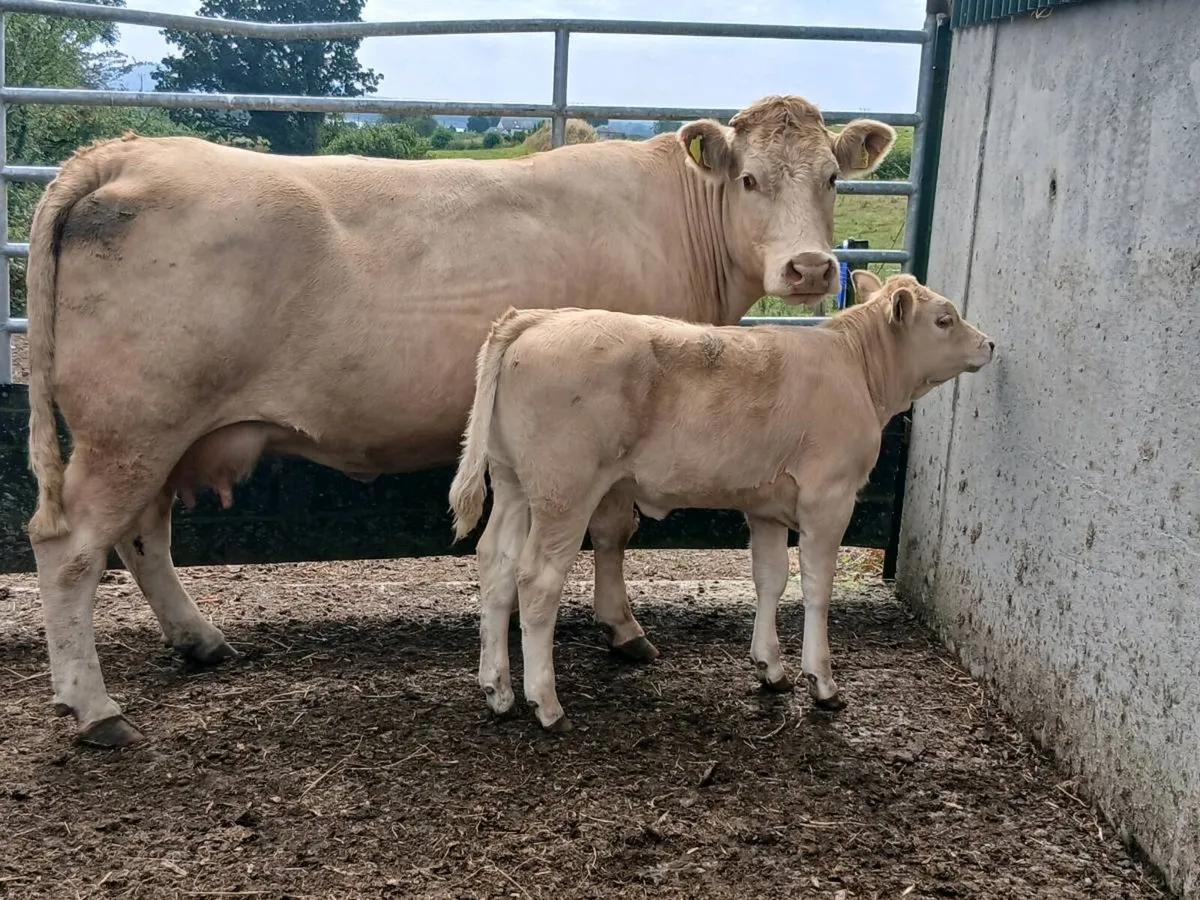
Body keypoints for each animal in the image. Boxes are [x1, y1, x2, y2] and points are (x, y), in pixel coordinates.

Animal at [24, 94, 897, 748]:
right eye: (749, 178)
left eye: (831, 177)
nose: (810, 268)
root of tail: (127, 152)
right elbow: (612, 531)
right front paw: (622, 630)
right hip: (131, 428)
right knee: (70, 548)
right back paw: (96, 709)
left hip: (157, 433)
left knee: (143, 537)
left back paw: (199, 640)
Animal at [449, 271, 996, 732]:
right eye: (945, 319)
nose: (989, 343)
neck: (854, 367)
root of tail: (536, 318)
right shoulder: (830, 498)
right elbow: (816, 588)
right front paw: (822, 682)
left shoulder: (766, 506)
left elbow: (771, 580)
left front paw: (770, 668)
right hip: (566, 490)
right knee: (537, 579)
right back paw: (546, 704)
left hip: (514, 482)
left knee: (496, 563)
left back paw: (497, 689)